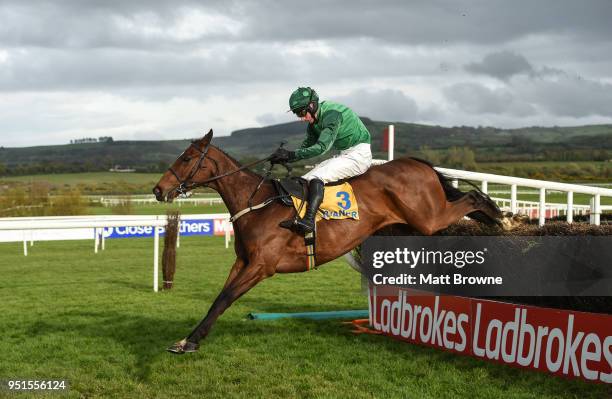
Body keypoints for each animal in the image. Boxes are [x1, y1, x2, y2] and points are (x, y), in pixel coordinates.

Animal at [153, 130, 502, 354]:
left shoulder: (261, 266)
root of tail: (417, 163)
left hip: (428, 218)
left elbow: (225, 298)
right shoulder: (243, 262)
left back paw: (499, 215)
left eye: (187, 158)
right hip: (411, 226)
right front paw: (189, 339)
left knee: (473, 197)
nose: (158, 190)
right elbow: (218, 299)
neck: (258, 204)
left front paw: (190, 342)